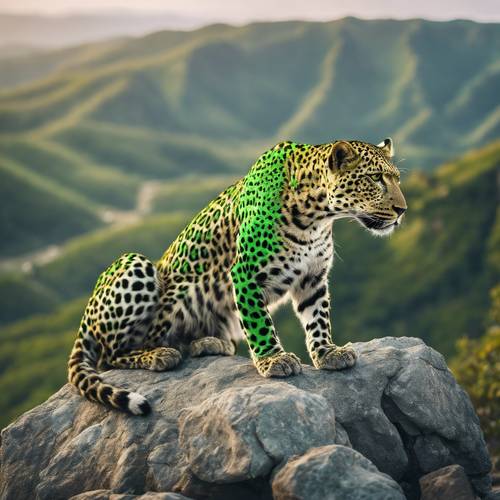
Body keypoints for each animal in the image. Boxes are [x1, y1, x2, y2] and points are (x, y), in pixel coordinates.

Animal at [67, 137, 406, 414]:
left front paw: (327, 352)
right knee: (110, 355)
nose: (402, 210)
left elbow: (318, 319)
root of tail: (85, 319)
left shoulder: (314, 278)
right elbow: (259, 323)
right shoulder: (245, 273)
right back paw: (158, 355)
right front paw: (274, 360)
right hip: (135, 264)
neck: (316, 216)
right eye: (375, 178)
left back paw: (206, 343)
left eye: (397, 179)